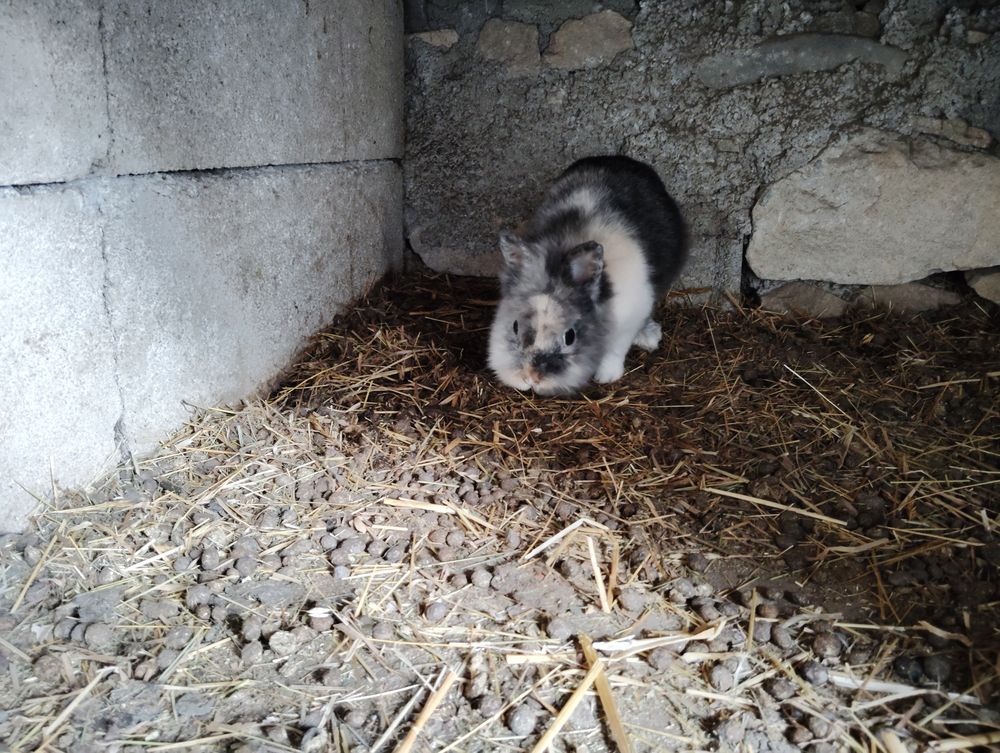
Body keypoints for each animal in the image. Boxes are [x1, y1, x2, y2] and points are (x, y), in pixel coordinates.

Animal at [488, 155, 687, 395]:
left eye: (570, 336)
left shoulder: (632, 315)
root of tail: (620, 159)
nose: (532, 377)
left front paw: (606, 376)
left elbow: (616, 349)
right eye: (515, 326)